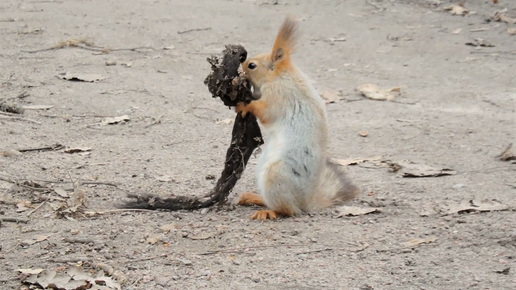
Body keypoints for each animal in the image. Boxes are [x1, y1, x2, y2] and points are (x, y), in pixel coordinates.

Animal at [237, 15, 360, 220]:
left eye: (252, 65)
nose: (240, 69)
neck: (279, 76)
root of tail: (306, 202)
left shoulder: (279, 95)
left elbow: (265, 111)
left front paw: (244, 105)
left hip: (276, 175)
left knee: (287, 210)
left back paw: (268, 211)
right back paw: (253, 197)